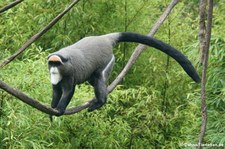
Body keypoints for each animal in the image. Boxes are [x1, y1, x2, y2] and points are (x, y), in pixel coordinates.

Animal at [47, 32, 200, 116]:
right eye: (51, 64)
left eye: (57, 64)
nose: (53, 69)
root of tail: (104, 38)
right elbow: (56, 90)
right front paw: (52, 110)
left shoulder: (69, 74)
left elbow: (68, 91)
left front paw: (59, 110)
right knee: (94, 80)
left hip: (108, 61)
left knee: (100, 78)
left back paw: (101, 101)